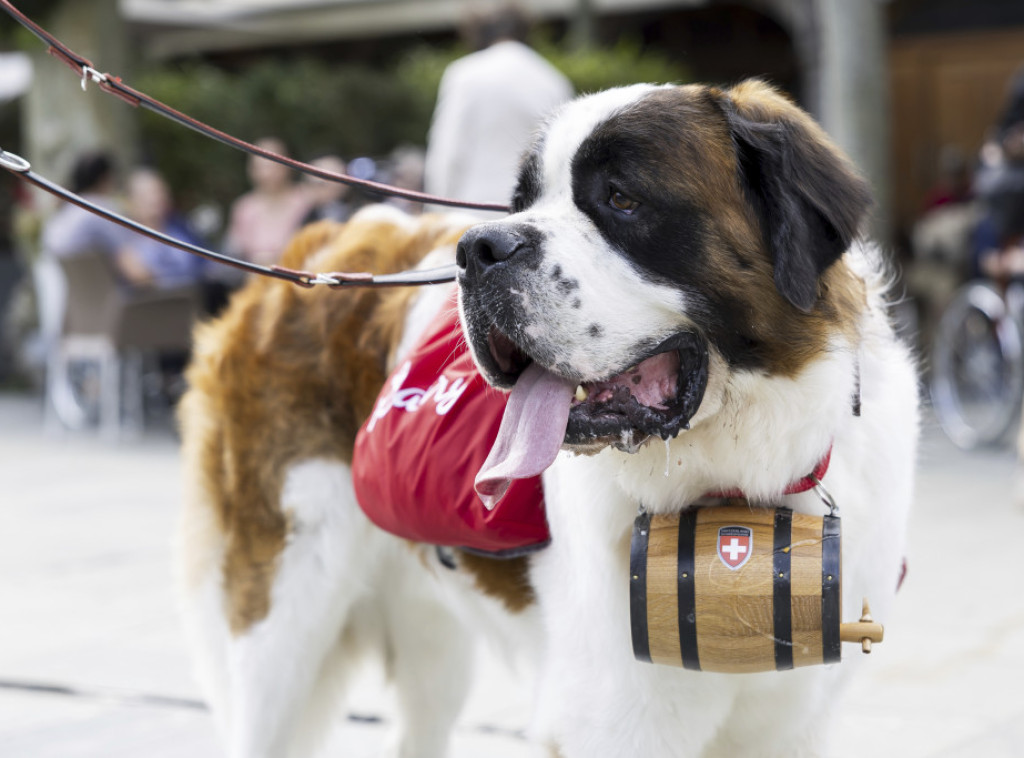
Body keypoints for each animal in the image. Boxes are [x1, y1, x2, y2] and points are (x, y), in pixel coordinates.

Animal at [178, 78, 921, 758]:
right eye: (520, 204)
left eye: (622, 198)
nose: (478, 249)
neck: (741, 477)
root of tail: (314, 249)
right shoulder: (618, 722)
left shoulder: (795, 723)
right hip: (282, 617)